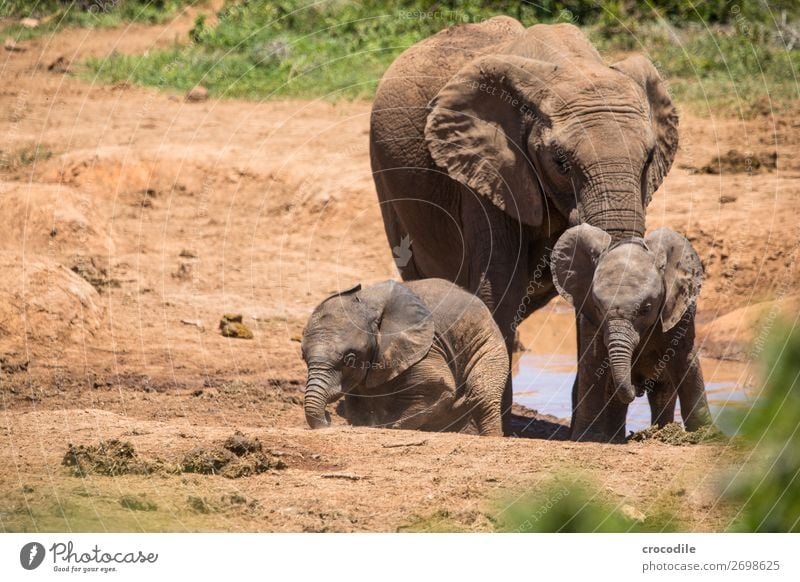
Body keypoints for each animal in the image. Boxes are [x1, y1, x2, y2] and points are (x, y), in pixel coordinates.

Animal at [304, 280, 510, 436]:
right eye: (304, 357)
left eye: (350, 358)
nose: (328, 419)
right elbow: (358, 400)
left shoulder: (427, 346)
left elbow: (437, 386)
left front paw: (391, 426)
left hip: (488, 343)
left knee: (482, 393)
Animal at [368, 17, 676, 434]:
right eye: (561, 162)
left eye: (647, 160)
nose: (640, 389)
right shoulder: (487, 169)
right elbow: (500, 282)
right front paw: (485, 430)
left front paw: (596, 438)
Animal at [552, 226, 712, 444]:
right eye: (598, 307)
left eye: (646, 309)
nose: (636, 389)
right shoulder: (589, 316)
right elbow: (593, 362)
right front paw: (587, 437)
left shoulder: (679, 309)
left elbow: (684, 359)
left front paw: (706, 435)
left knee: (663, 390)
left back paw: (661, 431)